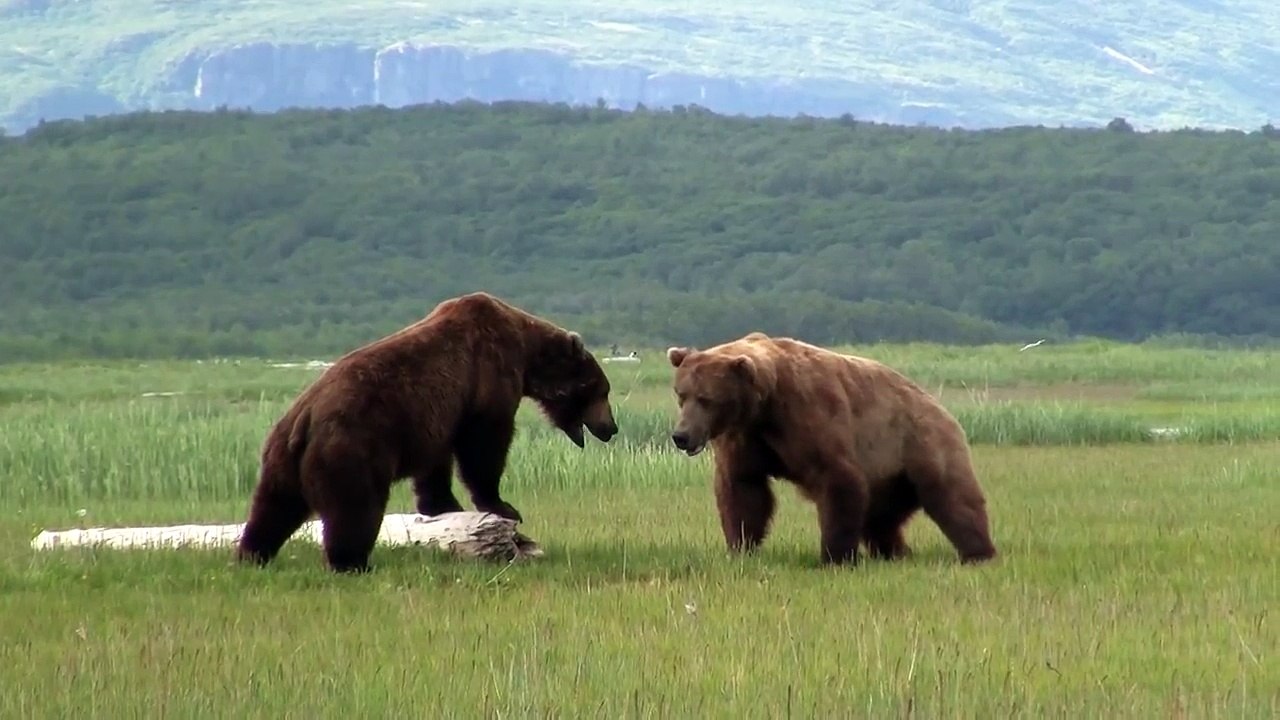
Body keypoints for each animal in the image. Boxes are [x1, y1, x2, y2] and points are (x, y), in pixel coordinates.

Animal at [235, 291, 619, 573]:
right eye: (601, 390)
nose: (611, 428)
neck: (526, 356)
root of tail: (305, 420)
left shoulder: (436, 417)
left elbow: (437, 461)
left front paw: (442, 504)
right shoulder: (489, 376)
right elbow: (484, 444)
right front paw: (504, 506)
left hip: (281, 458)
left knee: (272, 507)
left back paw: (252, 554)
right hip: (351, 447)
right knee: (354, 509)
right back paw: (352, 563)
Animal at [665, 331, 996, 567]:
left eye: (707, 399)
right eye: (681, 394)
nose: (682, 435)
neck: (764, 407)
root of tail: (943, 409)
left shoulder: (810, 415)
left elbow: (837, 479)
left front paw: (834, 557)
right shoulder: (745, 439)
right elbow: (743, 490)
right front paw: (741, 547)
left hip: (920, 445)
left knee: (954, 499)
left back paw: (978, 552)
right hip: (888, 477)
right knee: (881, 519)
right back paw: (896, 552)